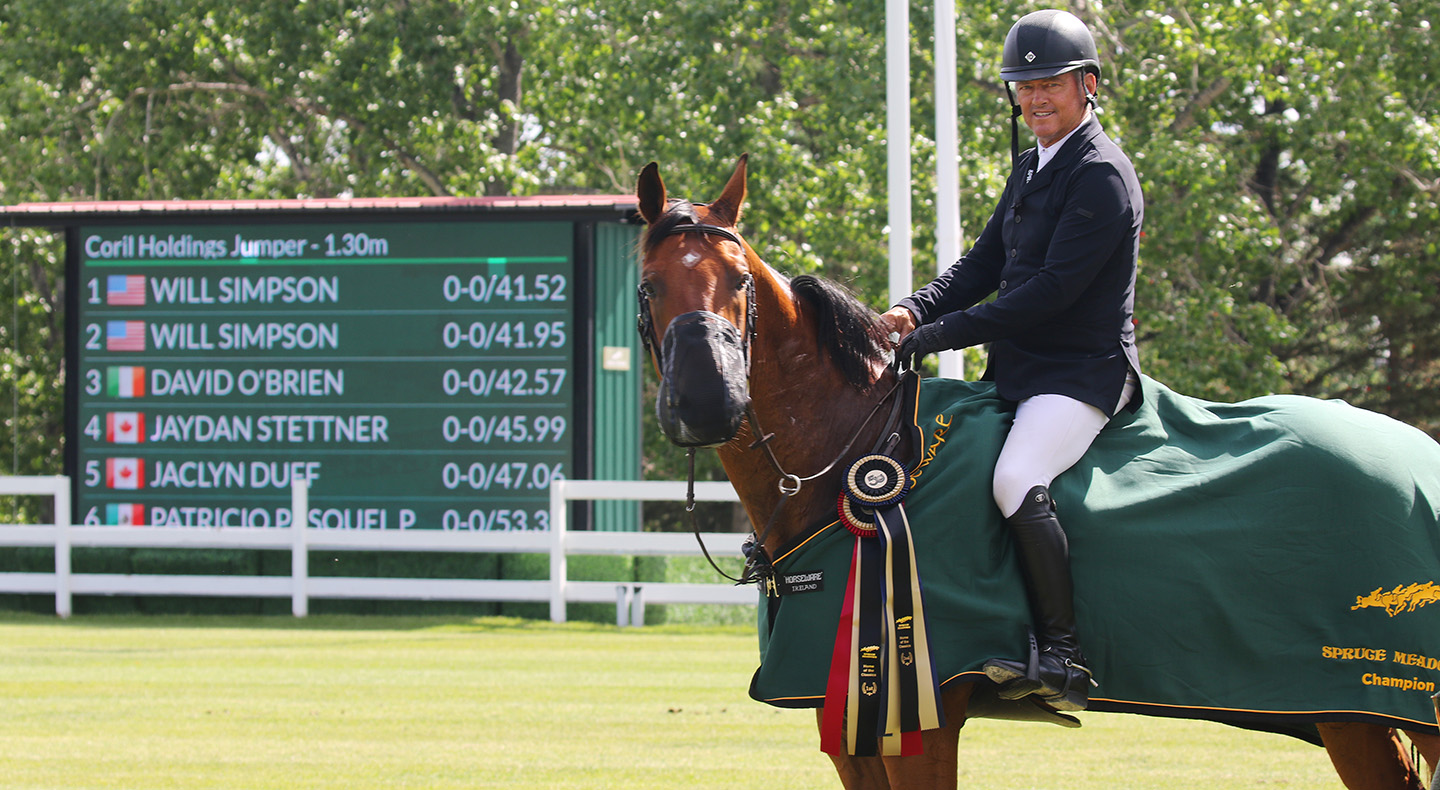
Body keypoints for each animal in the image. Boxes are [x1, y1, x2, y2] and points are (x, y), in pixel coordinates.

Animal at [635, 154, 1440, 789]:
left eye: (740, 281)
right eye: (647, 287)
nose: (707, 402)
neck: (863, 449)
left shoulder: (924, 716)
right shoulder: (851, 727)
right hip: (1357, 717)